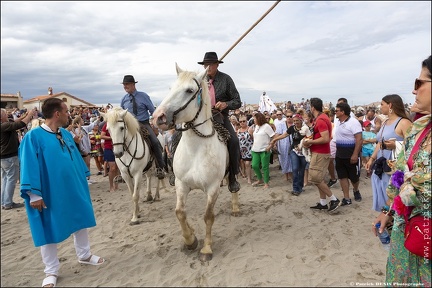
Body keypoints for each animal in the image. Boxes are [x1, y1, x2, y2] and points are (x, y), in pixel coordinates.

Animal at [152, 64, 240, 262]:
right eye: (171, 88)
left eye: (189, 90)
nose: (158, 117)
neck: (196, 150)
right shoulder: (181, 184)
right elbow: (180, 212)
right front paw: (190, 240)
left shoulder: (213, 188)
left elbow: (208, 217)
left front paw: (206, 249)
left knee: (233, 185)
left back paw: (235, 206)